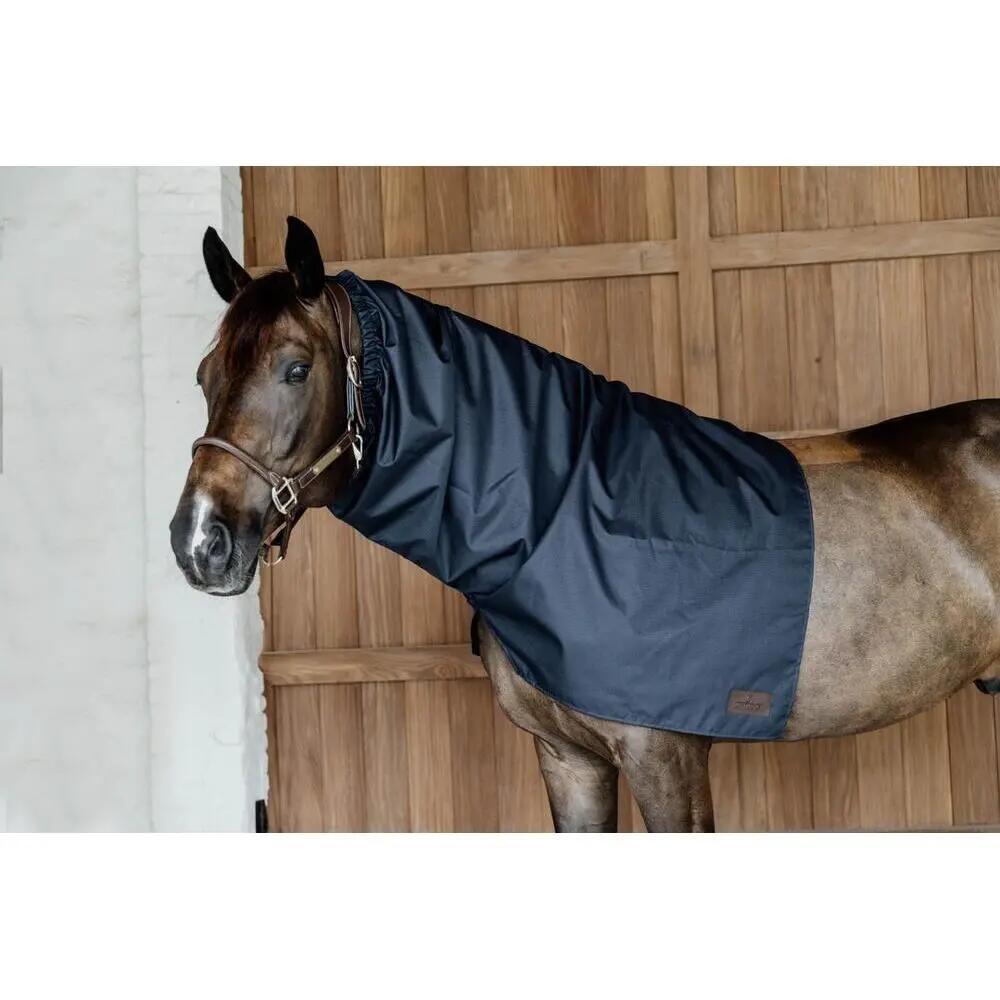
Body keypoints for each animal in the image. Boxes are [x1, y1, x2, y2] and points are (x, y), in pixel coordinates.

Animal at [171, 216, 1000, 832]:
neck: (560, 510)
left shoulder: (666, 762)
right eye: (206, 376)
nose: (200, 541)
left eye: (296, 368)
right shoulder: (568, 761)